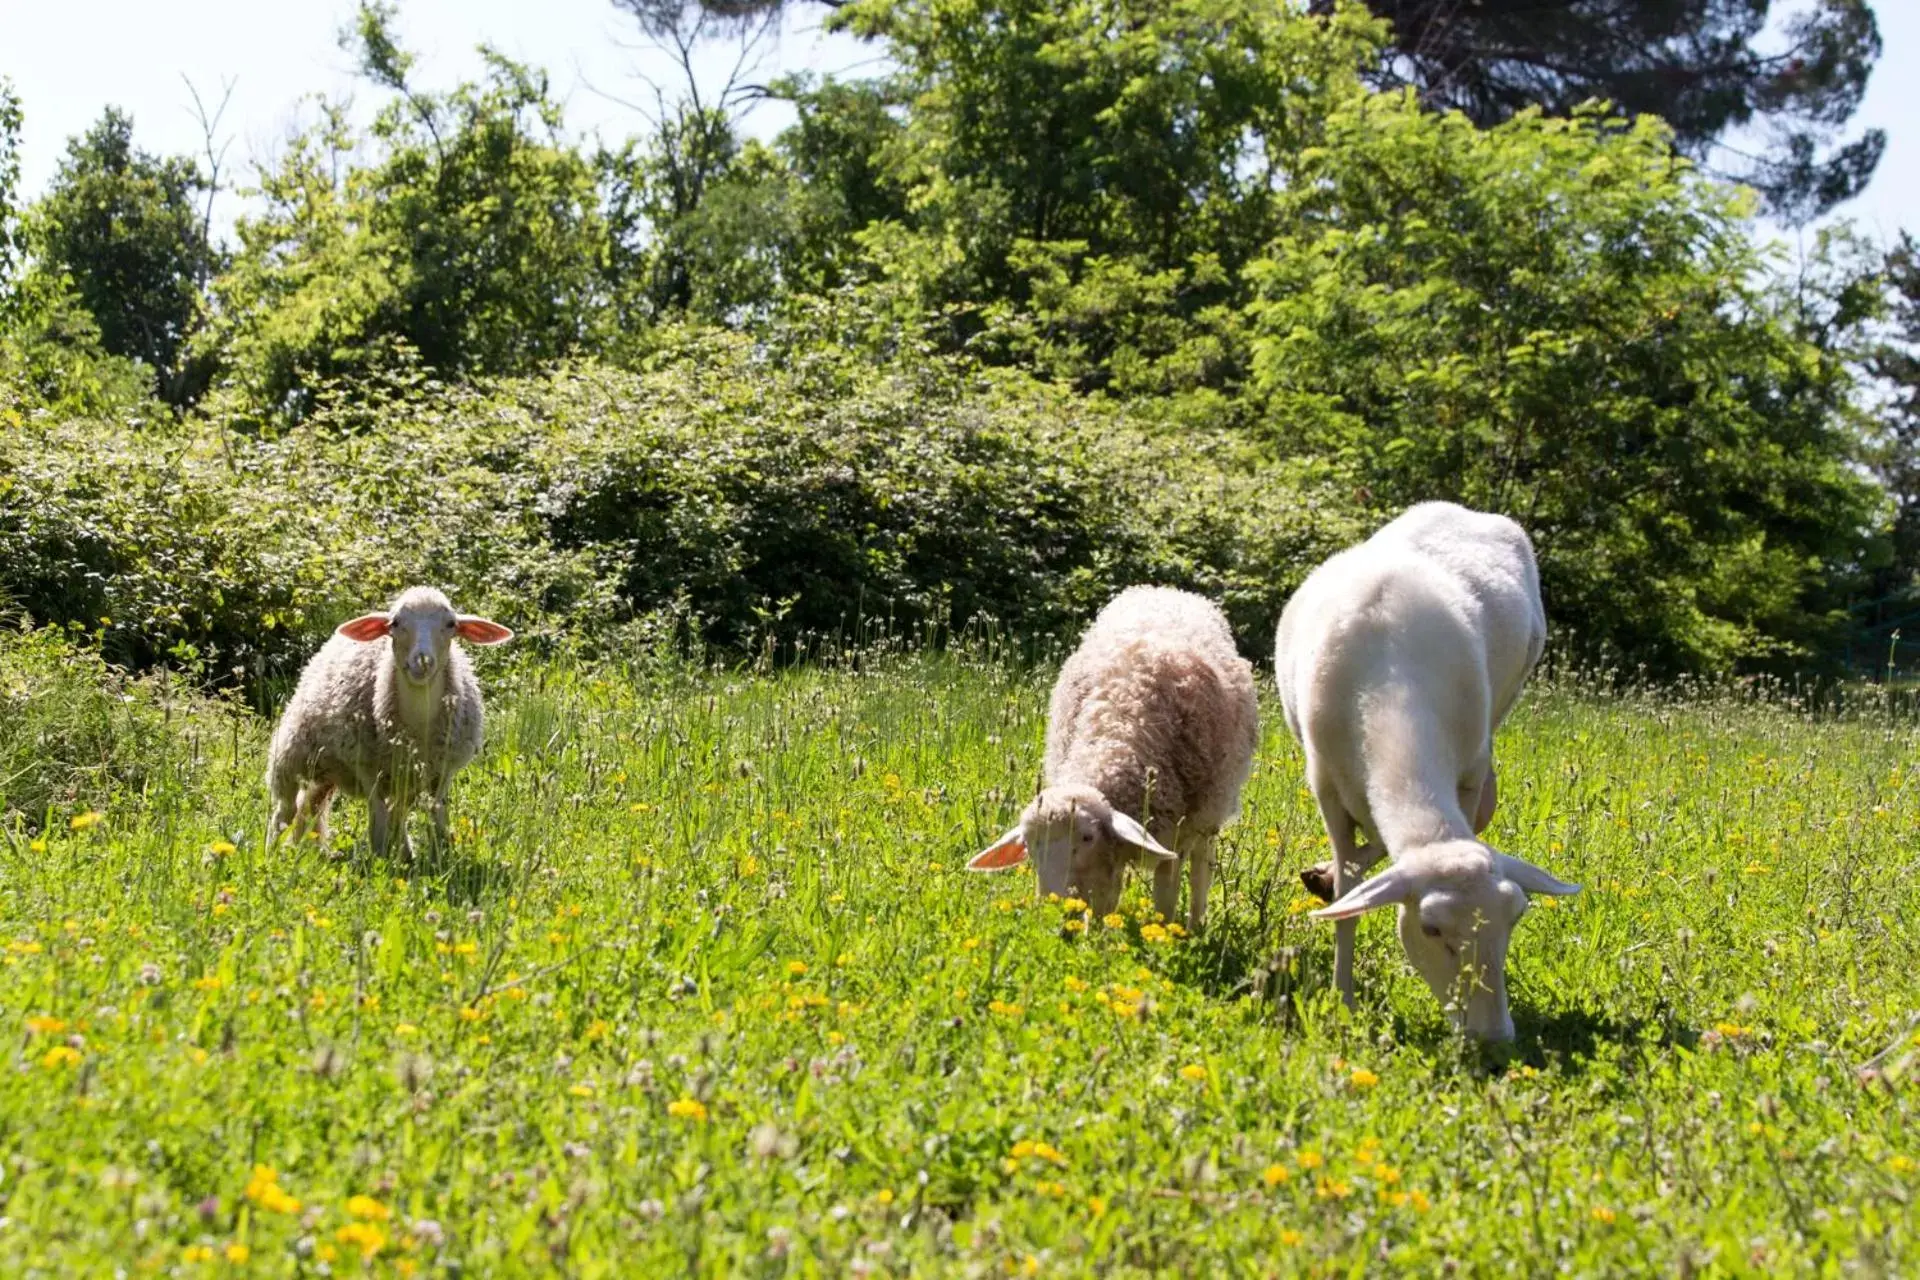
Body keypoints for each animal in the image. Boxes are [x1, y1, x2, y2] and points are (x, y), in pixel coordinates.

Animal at [270, 591, 514, 859]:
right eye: (395, 623)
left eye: (451, 624)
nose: (422, 661)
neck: (419, 723)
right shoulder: (368, 769)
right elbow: (378, 819)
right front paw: (380, 858)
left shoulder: (441, 772)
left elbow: (436, 815)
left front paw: (438, 855)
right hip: (292, 756)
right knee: (284, 810)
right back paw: (273, 853)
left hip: (333, 769)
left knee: (315, 804)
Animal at [960, 583, 1259, 932]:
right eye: (1029, 844)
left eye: (1087, 837)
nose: (1055, 908)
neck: (1116, 729)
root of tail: (1163, 589)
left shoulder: (1176, 834)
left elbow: (1165, 898)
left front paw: (1165, 935)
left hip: (1210, 812)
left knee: (1202, 866)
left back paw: (1196, 923)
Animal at [1274, 498, 1574, 1043]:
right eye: (1431, 929)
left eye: (1516, 917)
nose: (1492, 1037)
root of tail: (1463, 510)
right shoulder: (1325, 786)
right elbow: (1349, 893)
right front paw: (1343, 1000)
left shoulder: (1471, 772)